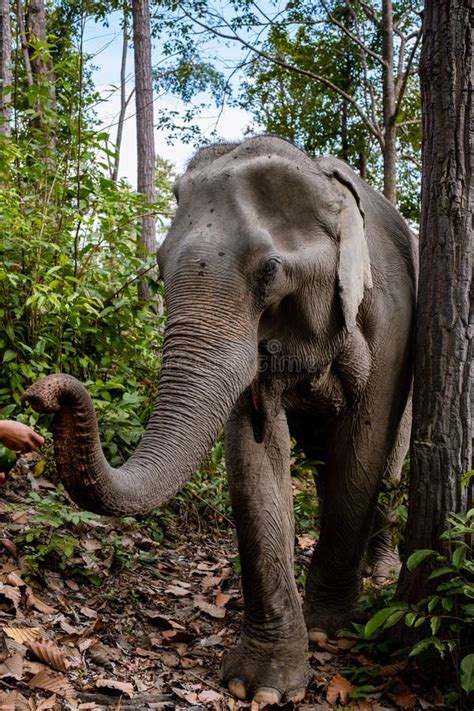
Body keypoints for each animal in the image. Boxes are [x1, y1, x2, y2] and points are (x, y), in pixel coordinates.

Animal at [25, 136, 418, 704]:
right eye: (159, 264)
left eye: (270, 271)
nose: (45, 395)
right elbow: (254, 454)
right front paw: (258, 686)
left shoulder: (390, 318)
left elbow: (363, 446)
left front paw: (328, 629)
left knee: (387, 465)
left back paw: (380, 569)